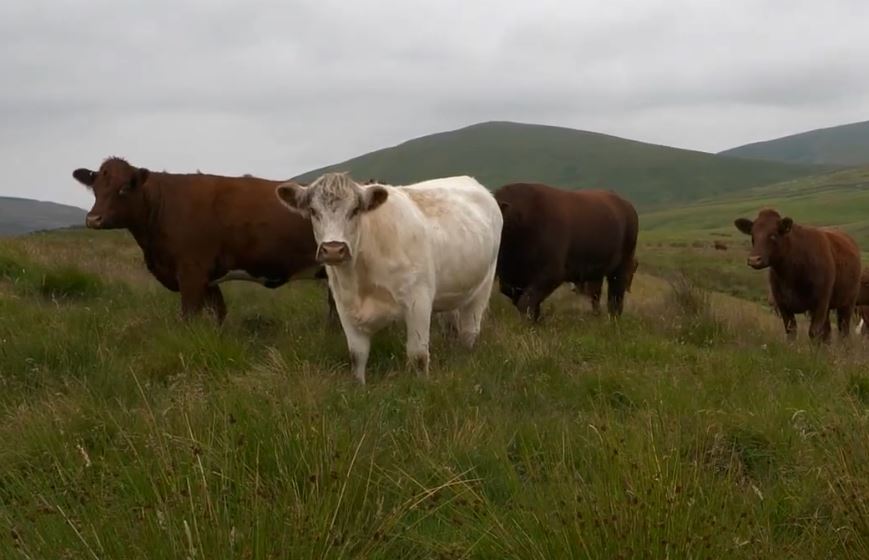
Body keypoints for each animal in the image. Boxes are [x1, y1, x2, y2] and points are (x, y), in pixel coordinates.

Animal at [72, 158, 332, 324]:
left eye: (124, 188)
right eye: (95, 188)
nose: (93, 218)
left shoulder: (192, 272)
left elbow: (189, 317)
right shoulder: (208, 279)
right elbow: (218, 314)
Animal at [274, 171, 498, 382]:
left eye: (355, 210)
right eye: (313, 211)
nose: (334, 249)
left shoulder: (418, 301)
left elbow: (418, 356)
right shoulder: (344, 307)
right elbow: (357, 356)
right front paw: (359, 387)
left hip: (483, 286)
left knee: (469, 332)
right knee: (451, 326)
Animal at [496, 184, 636, 320]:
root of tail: (627, 206)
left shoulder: (550, 275)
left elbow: (526, 303)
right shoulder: (511, 281)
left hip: (620, 269)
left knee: (615, 299)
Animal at [732, 208, 860, 342]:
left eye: (773, 235)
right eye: (753, 235)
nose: (754, 259)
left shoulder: (820, 303)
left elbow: (814, 332)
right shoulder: (783, 305)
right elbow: (791, 332)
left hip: (848, 303)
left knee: (843, 330)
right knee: (828, 332)